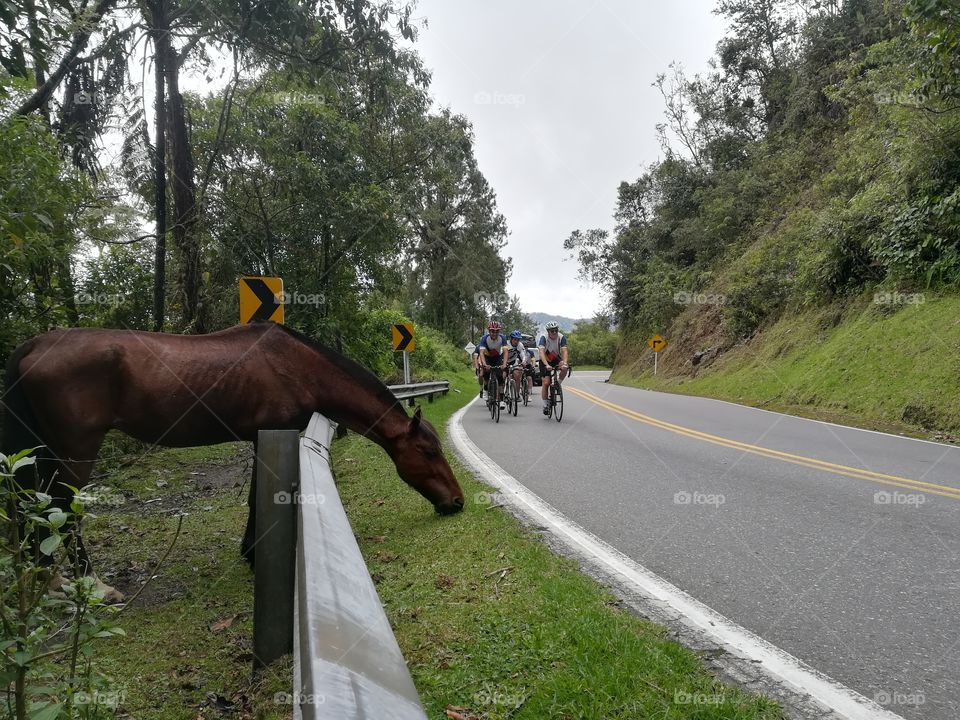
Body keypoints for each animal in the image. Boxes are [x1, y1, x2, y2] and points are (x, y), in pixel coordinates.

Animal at [1, 322, 465, 602]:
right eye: (428, 452)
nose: (457, 502)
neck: (296, 366)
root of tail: (33, 345)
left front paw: (248, 551)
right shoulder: (270, 433)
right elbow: (259, 496)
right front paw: (254, 555)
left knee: (38, 508)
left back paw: (49, 581)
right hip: (75, 450)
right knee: (62, 510)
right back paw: (93, 586)